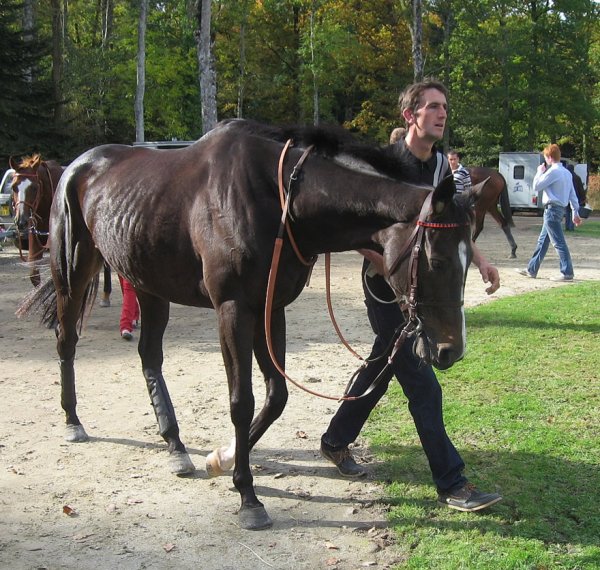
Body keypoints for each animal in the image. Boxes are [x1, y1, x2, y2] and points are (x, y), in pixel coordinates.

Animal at [18, 118, 486, 528]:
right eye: (438, 260)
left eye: (469, 260)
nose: (450, 349)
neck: (280, 200)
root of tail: (78, 165)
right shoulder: (234, 308)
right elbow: (241, 401)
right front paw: (248, 496)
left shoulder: (270, 308)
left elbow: (277, 396)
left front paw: (222, 459)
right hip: (73, 269)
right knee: (67, 340)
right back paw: (73, 421)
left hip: (148, 282)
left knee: (149, 356)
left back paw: (175, 445)